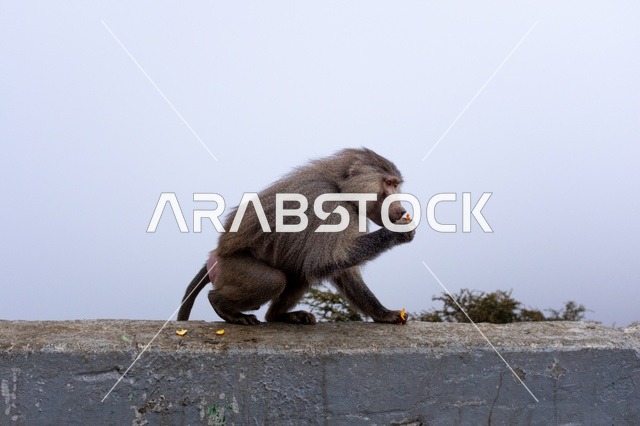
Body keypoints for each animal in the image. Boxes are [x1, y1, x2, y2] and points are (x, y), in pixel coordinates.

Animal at [177, 147, 415, 325]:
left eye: (396, 184)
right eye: (389, 184)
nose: (402, 209)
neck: (341, 189)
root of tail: (217, 252)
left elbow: (340, 270)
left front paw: (384, 315)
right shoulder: (327, 207)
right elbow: (322, 262)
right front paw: (397, 233)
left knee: (299, 275)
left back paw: (279, 316)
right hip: (231, 267)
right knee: (274, 280)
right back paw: (223, 307)